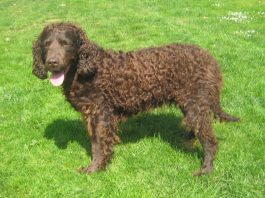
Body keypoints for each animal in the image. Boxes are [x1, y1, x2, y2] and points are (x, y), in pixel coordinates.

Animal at [32, 22, 238, 176]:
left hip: (196, 103)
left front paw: (94, 169)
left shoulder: (100, 114)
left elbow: (98, 144)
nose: (52, 63)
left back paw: (205, 170)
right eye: (46, 44)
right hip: (191, 104)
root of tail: (210, 58)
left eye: (66, 43)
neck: (86, 69)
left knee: (209, 140)